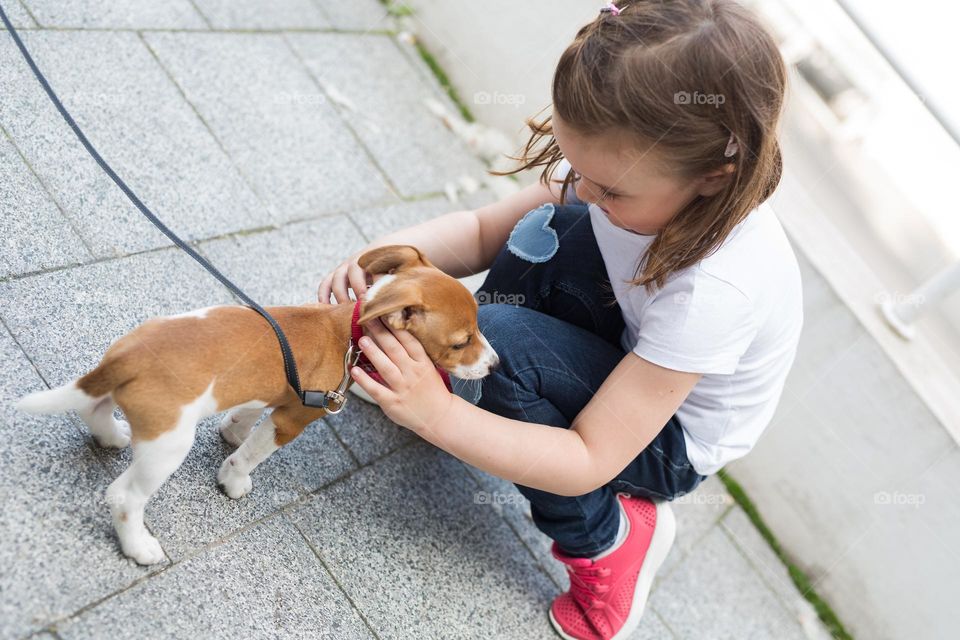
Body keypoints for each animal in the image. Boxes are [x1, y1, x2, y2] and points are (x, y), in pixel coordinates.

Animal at [15, 245, 498, 564]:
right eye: (462, 342)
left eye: (479, 326)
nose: (494, 364)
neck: (351, 331)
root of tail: (130, 357)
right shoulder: (293, 417)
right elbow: (251, 454)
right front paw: (233, 478)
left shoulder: (273, 391)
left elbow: (246, 414)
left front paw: (232, 431)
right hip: (168, 445)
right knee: (124, 495)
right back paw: (138, 546)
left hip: (118, 392)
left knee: (92, 407)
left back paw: (111, 434)